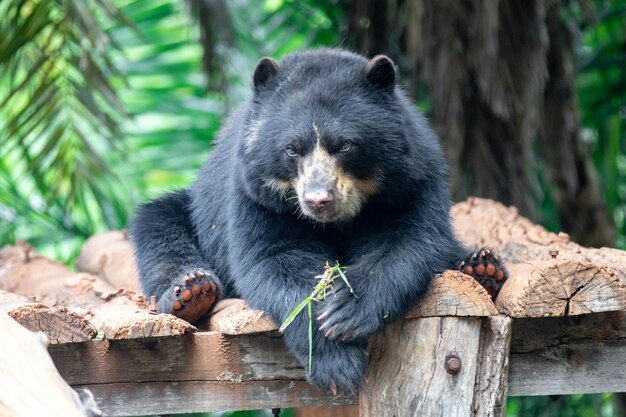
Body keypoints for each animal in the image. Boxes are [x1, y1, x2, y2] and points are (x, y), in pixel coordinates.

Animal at [129, 48, 504, 394]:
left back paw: (482, 268)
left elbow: (407, 240)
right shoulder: (257, 197)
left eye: (345, 145)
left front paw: (346, 311)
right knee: (160, 227)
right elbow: (275, 258)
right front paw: (337, 363)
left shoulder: (411, 182)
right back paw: (192, 291)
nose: (318, 199)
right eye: (292, 149)